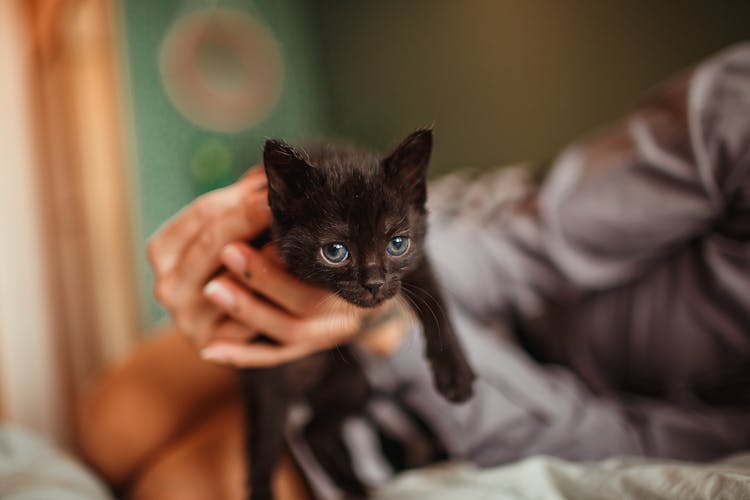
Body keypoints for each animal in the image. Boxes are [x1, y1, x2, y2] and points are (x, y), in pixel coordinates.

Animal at [241, 130, 476, 500]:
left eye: (397, 244)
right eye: (335, 251)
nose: (374, 284)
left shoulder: (417, 259)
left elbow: (435, 300)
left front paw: (455, 372)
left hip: (352, 380)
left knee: (312, 433)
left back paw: (356, 487)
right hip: (269, 385)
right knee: (266, 451)